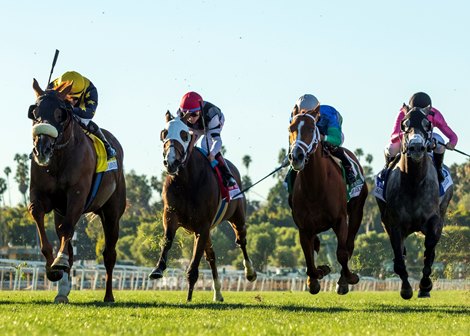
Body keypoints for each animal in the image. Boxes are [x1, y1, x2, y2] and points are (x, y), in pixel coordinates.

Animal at [27, 79, 126, 302]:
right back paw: (62, 291)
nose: (42, 149)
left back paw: (108, 295)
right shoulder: (41, 196)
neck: (58, 159)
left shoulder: (77, 195)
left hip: (112, 212)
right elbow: (38, 216)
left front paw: (59, 261)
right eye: (34, 112)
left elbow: (67, 230)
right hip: (61, 212)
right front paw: (53, 268)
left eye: (60, 114)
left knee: (109, 254)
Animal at [149, 111, 255, 302]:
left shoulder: (203, 226)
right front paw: (158, 269)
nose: (171, 162)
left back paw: (250, 273)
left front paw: (189, 296)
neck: (186, 180)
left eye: (184, 134)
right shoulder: (171, 215)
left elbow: (195, 262)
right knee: (211, 256)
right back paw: (218, 293)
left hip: (237, 217)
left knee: (241, 241)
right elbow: (167, 240)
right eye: (164, 133)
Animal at [288, 106, 370, 296]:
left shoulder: (340, 219)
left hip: (357, 211)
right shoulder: (304, 227)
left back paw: (343, 280)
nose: (297, 156)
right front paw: (317, 275)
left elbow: (342, 252)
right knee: (316, 246)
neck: (316, 187)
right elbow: (309, 258)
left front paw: (348, 279)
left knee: (349, 244)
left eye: (311, 128)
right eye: (291, 128)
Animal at [374, 105, 452, 300]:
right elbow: (399, 258)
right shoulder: (394, 224)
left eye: (427, 124)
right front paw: (406, 288)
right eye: (404, 124)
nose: (416, 147)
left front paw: (424, 285)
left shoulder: (434, 221)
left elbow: (429, 253)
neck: (414, 183)